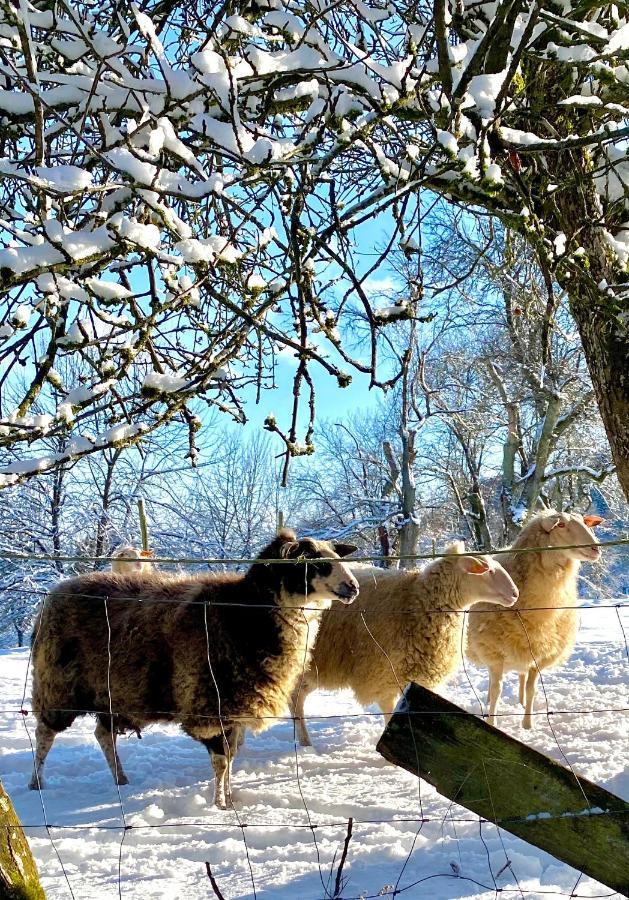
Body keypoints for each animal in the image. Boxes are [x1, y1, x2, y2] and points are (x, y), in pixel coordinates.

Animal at [29, 532, 358, 804]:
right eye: (315, 562)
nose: (352, 587)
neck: (245, 614)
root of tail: (54, 594)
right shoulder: (209, 705)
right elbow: (221, 761)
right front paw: (219, 805)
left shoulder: (234, 707)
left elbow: (231, 757)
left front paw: (230, 798)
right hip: (57, 685)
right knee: (45, 734)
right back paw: (36, 784)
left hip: (110, 694)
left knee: (103, 735)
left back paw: (120, 778)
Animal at [288, 540, 516, 744]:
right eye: (488, 571)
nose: (515, 594)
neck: (415, 600)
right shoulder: (382, 676)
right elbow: (390, 713)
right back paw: (306, 743)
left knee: (296, 699)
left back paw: (305, 743)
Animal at [466, 510, 604, 728]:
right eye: (561, 525)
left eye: (584, 522)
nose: (596, 549)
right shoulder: (494, 651)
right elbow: (497, 690)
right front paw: (492, 722)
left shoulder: (539, 655)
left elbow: (532, 689)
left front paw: (527, 724)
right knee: (492, 680)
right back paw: (488, 700)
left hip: (525, 646)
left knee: (522, 676)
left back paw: (521, 701)